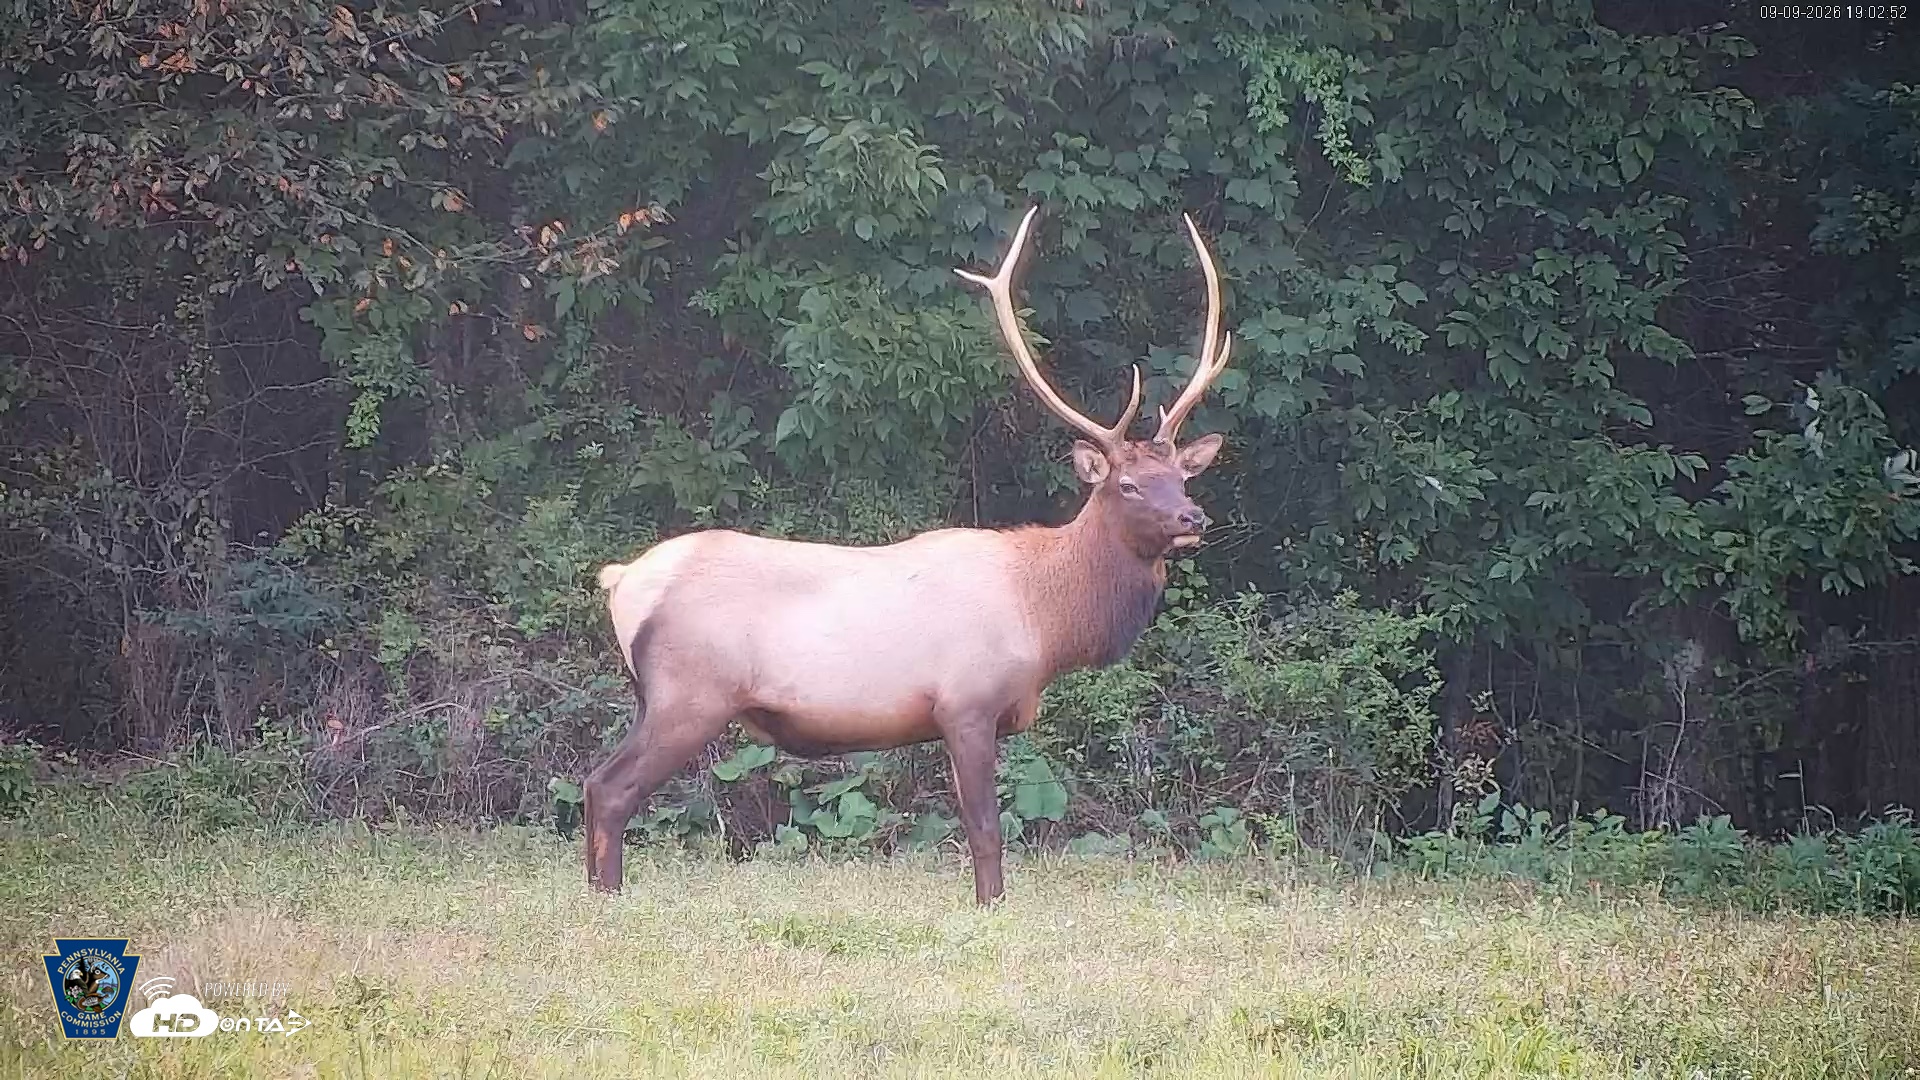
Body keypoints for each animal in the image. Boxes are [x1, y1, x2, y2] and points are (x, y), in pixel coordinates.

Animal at [586, 204, 1234, 904]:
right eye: (1129, 484)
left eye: (1184, 477)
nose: (1193, 518)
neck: (1045, 620)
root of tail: (621, 580)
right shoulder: (966, 703)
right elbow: (985, 830)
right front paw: (990, 907)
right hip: (690, 693)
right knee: (609, 787)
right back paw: (608, 899)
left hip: (658, 697)